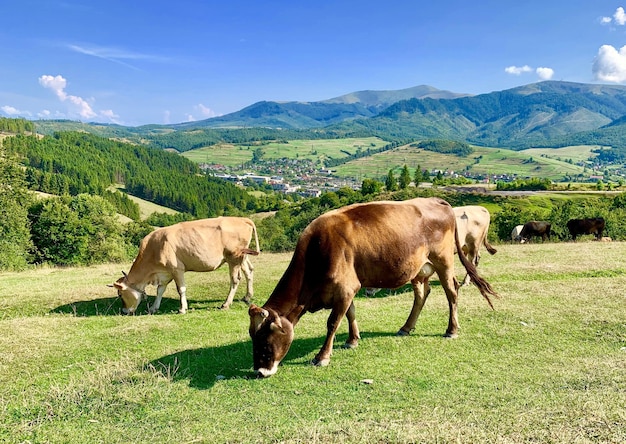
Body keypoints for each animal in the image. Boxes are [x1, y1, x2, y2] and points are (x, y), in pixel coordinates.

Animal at [111, 217, 258, 314]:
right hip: (242, 257)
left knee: (235, 279)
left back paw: (226, 304)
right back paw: (247, 297)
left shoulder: (177, 269)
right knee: (249, 271)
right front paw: (153, 307)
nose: (124, 311)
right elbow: (160, 290)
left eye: (120, 295)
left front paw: (182, 308)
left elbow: (181, 289)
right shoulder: (165, 272)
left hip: (233, 258)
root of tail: (242, 219)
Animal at [246, 196, 494, 376]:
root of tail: (437, 200)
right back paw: (406, 327)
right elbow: (350, 314)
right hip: (418, 268)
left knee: (451, 291)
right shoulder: (349, 288)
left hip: (443, 261)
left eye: (265, 340)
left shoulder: (344, 288)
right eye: (252, 337)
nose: (260, 371)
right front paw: (352, 340)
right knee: (422, 294)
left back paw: (451, 330)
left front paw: (322, 357)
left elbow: (333, 322)